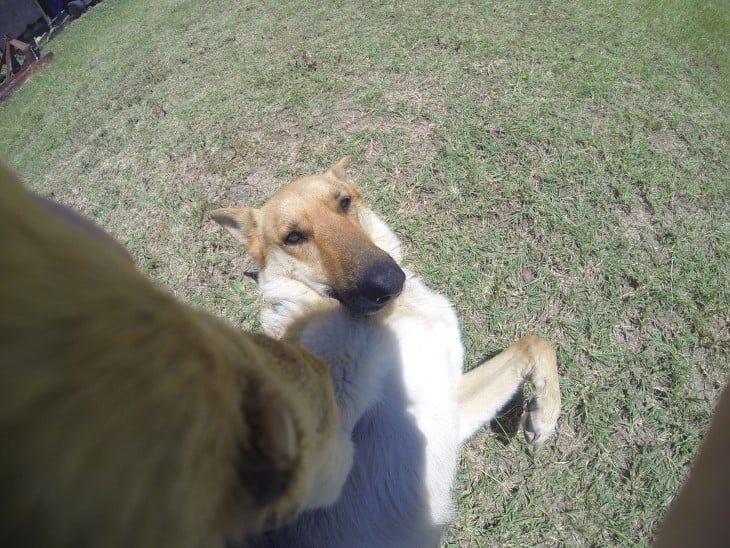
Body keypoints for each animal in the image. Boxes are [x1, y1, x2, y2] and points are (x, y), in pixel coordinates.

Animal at [210, 156, 564, 544]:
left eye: (344, 202)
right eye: (293, 237)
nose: (389, 282)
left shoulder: (450, 404)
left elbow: (535, 342)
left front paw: (544, 413)